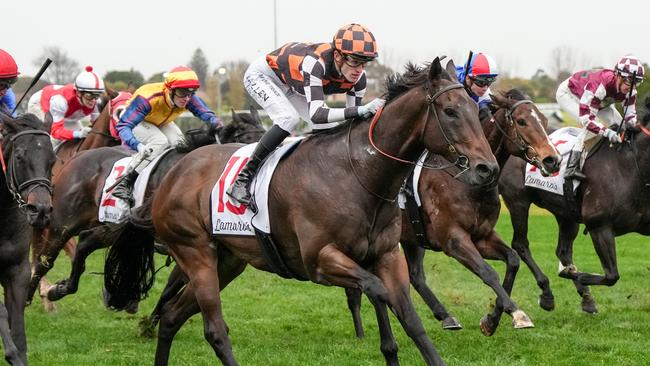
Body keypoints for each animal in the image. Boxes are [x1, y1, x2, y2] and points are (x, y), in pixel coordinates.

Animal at [27, 108, 266, 306]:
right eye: (248, 139)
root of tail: (77, 157)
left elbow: (172, 289)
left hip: (110, 227)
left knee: (85, 242)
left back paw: (60, 289)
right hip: (63, 224)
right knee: (44, 260)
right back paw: (35, 295)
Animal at [102, 58, 496, 364]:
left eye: (476, 110)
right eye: (450, 112)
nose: (486, 169)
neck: (358, 173)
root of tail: (171, 177)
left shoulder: (387, 255)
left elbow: (411, 319)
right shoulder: (320, 261)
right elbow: (377, 291)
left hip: (227, 260)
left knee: (172, 316)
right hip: (195, 253)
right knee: (214, 330)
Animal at [342, 88, 560, 338]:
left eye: (544, 120)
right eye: (522, 121)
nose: (553, 160)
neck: (466, 180)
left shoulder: (482, 236)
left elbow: (513, 260)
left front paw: (492, 320)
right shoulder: (454, 240)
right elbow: (488, 272)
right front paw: (515, 313)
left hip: (410, 237)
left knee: (415, 276)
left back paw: (445, 316)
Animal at [498, 96, 648, 314]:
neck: (632, 167)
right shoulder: (599, 226)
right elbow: (611, 276)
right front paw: (570, 274)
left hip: (566, 212)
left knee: (563, 251)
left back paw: (586, 297)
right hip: (518, 201)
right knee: (521, 244)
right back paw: (547, 292)